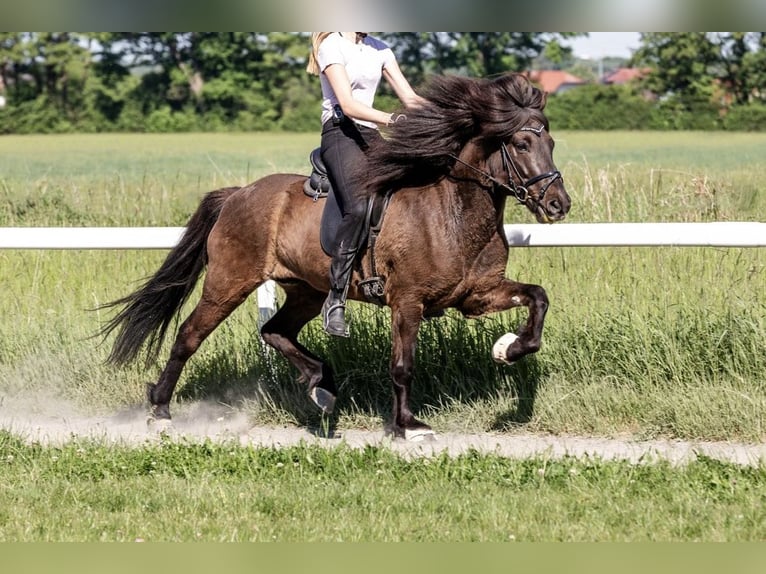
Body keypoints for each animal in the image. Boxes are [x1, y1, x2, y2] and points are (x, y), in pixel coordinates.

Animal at [99, 72, 571, 441]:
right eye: (522, 143)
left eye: (551, 141)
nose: (558, 205)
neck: (452, 211)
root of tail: (238, 194)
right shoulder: (408, 301)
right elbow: (403, 365)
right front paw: (407, 426)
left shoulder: (476, 294)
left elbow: (539, 297)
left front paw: (507, 348)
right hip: (229, 282)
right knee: (188, 336)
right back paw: (160, 411)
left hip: (306, 290)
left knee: (274, 331)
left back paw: (320, 384)